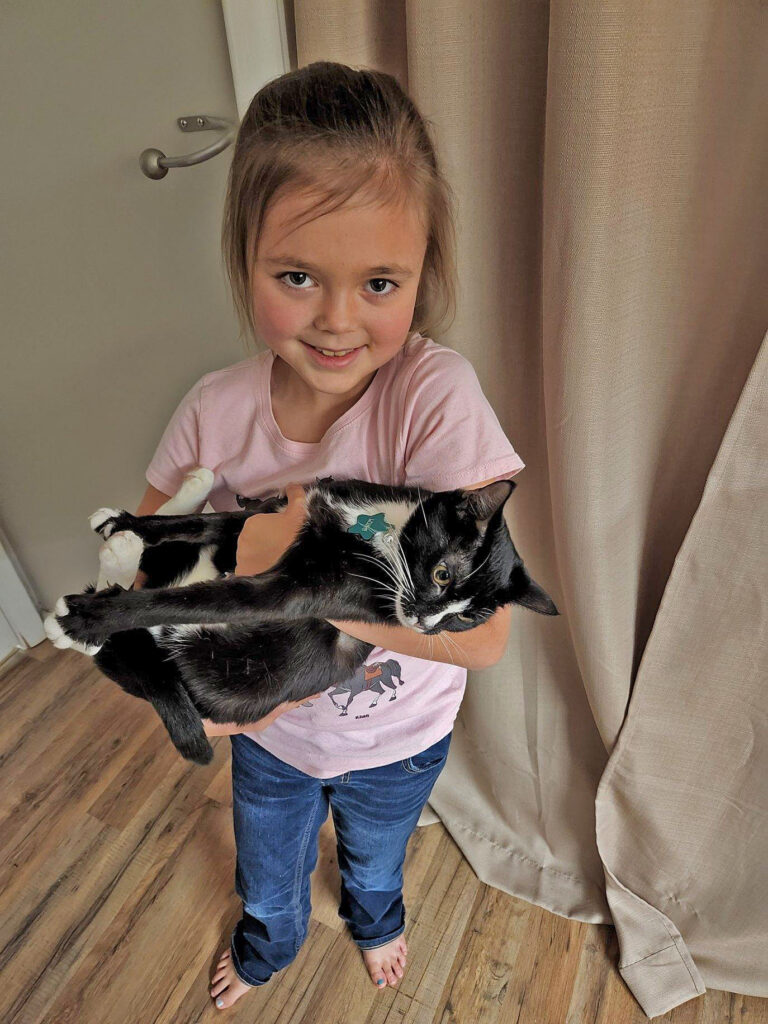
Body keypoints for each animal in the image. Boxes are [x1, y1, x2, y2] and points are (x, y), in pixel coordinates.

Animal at [43, 468, 561, 765]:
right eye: (442, 574)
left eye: (466, 621)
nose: (425, 624)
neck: (379, 530)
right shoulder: (268, 518)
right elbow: (197, 523)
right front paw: (131, 522)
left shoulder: (291, 593)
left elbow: (201, 598)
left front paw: (84, 619)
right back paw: (137, 522)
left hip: (208, 664)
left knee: (129, 632)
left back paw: (88, 610)